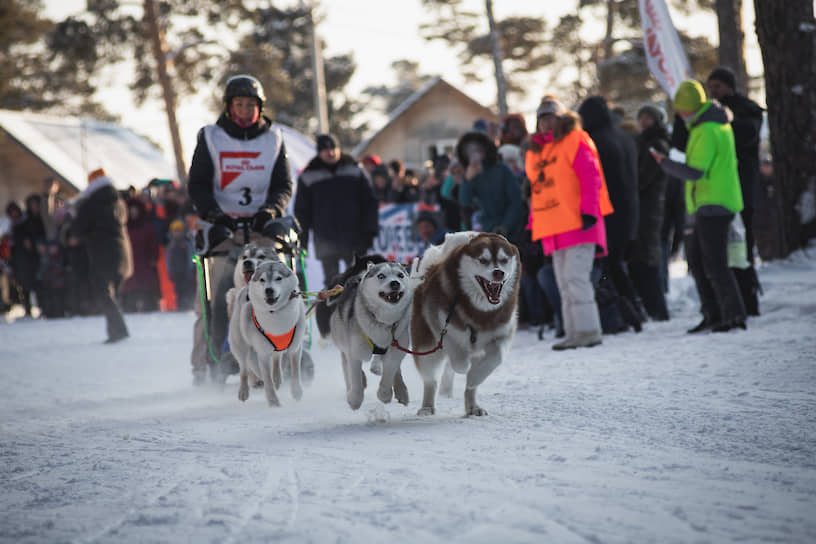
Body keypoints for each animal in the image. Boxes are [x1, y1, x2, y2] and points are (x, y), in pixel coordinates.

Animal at [230, 260, 306, 408]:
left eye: (278, 278)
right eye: (262, 280)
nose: (269, 290)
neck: (275, 314)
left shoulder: (295, 348)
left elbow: (295, 372)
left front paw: (297, 392)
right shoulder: (263, 354)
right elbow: (267, 380)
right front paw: (273, 402)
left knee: (276, 359)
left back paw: (277, 378)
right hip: (241, 346)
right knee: (244, 369)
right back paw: (244, 391)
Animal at [314, 258, 412, 410]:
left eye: (400, 275)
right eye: (381, 276)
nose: (395, 283)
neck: (383, 321)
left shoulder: (395, 349)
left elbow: (390, 372)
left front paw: (384, 394)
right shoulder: (355, 351)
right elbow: (355, 377)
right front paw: (354, 399)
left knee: (394, 369)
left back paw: (401, 390)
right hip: (344, 342)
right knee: (347, 365)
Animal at [412, 231, 520, 416]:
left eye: (504, 260)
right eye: (483, 260)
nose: (498, 272)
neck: (480, 312)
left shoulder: (501, 333)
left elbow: (494, 359)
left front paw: (475, 375)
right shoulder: (442, 326)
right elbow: (460, 361)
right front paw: (466, 367)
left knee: (469, 386)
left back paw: (473, 406)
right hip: (426, 345)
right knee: (430, 380)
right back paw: (427, 406)